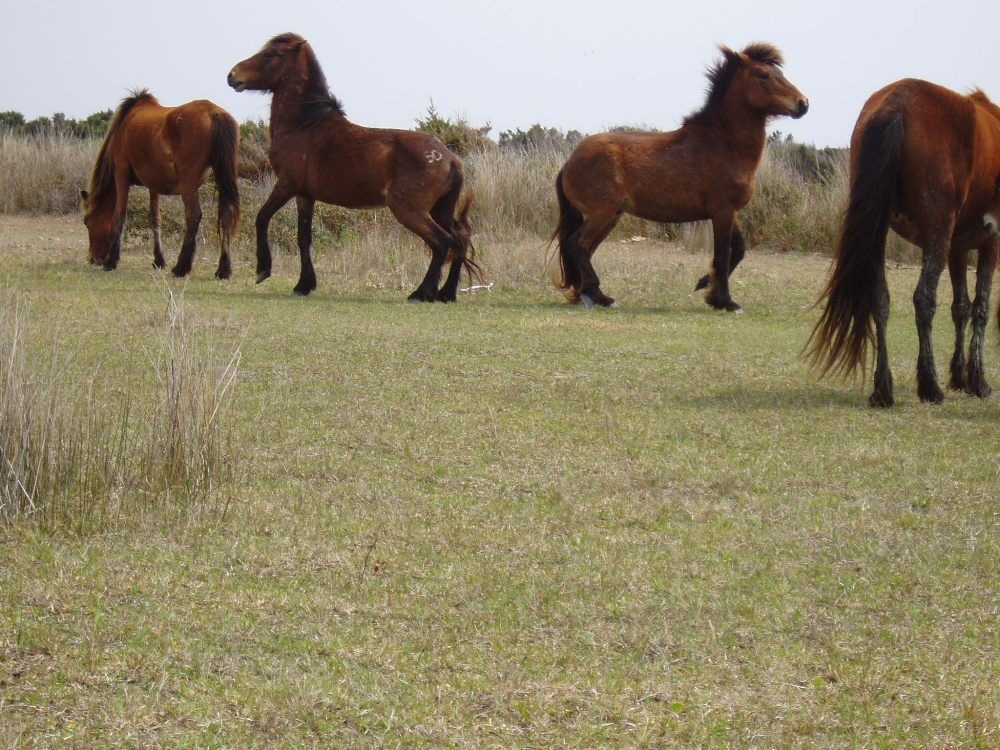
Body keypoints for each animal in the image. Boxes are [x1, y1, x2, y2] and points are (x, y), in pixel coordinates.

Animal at [81, 90, 239, 280]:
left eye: (87, 222)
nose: (92, 259)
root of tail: (213, 112)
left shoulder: (121, 173)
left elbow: (120, 214)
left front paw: (111, 261)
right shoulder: (153, 184)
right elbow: (155, 218)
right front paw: (159, 260)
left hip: (188, 183)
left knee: (193, 215)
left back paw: (181, 267)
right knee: (227, 214)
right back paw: (223, 269)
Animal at [229, 33, 478, 302]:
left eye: (269, 54)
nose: (232, 75)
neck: (304, 124)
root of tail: (451, 158)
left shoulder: (286, 185)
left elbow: (262, 217)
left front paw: (263, 270)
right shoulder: (305, 195)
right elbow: (304, 238)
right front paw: (304, 284)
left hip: (409, 210)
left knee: (442, 241)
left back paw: (421, 293)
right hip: (440, 209)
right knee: (459, 239)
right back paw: (447, 292)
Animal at [552, 41, 808, 312]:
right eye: (763, 74)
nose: (803, 103)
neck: (724, 144)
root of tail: (569, 162)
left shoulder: (729, 212)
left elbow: (738, 250)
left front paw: (705, 284)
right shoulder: (722, 211)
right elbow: (723, 254)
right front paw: (724, 301)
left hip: (611, 216)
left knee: (585, 250)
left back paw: (595, 295)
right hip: (603, 213)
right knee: (577, 245)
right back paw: (598, 295)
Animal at [804, 80, 1000, 408]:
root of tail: (896, 106)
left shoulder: (958, 249)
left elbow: (961, 307)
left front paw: (960, 376)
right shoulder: (990, 242)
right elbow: (981, 308)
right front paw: (977, 380)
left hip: (881, 229)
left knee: (880, 298)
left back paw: (883, 388)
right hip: (937, 231)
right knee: (924, 300)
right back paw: (930, 385)